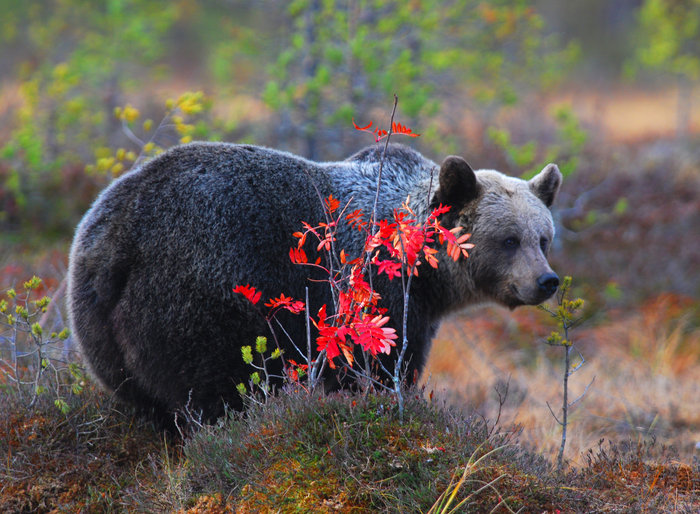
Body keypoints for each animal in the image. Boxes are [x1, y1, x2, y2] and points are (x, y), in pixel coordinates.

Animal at [67, 142, 564, 422]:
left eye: (543, 237)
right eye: (509, 239)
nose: (547, 281)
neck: (424, 275)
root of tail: (116, 238)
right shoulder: (377, 295)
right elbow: (378, 367)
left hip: (98, 322)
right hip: (196, 298)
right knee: (214, 389)